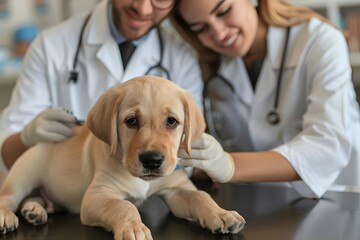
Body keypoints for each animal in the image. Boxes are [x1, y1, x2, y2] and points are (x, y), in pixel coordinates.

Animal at [0, 76, 246, 238]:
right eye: (131, 121)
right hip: (23, 176)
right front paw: (134, 228)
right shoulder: (96, 196)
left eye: (172, 121)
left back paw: (34, 211)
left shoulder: (177, 190)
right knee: (7, 197)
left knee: (35, 198)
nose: (152, 160)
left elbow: (200, 196)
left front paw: (221, 214)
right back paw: (7, 216)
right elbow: (124, 206)